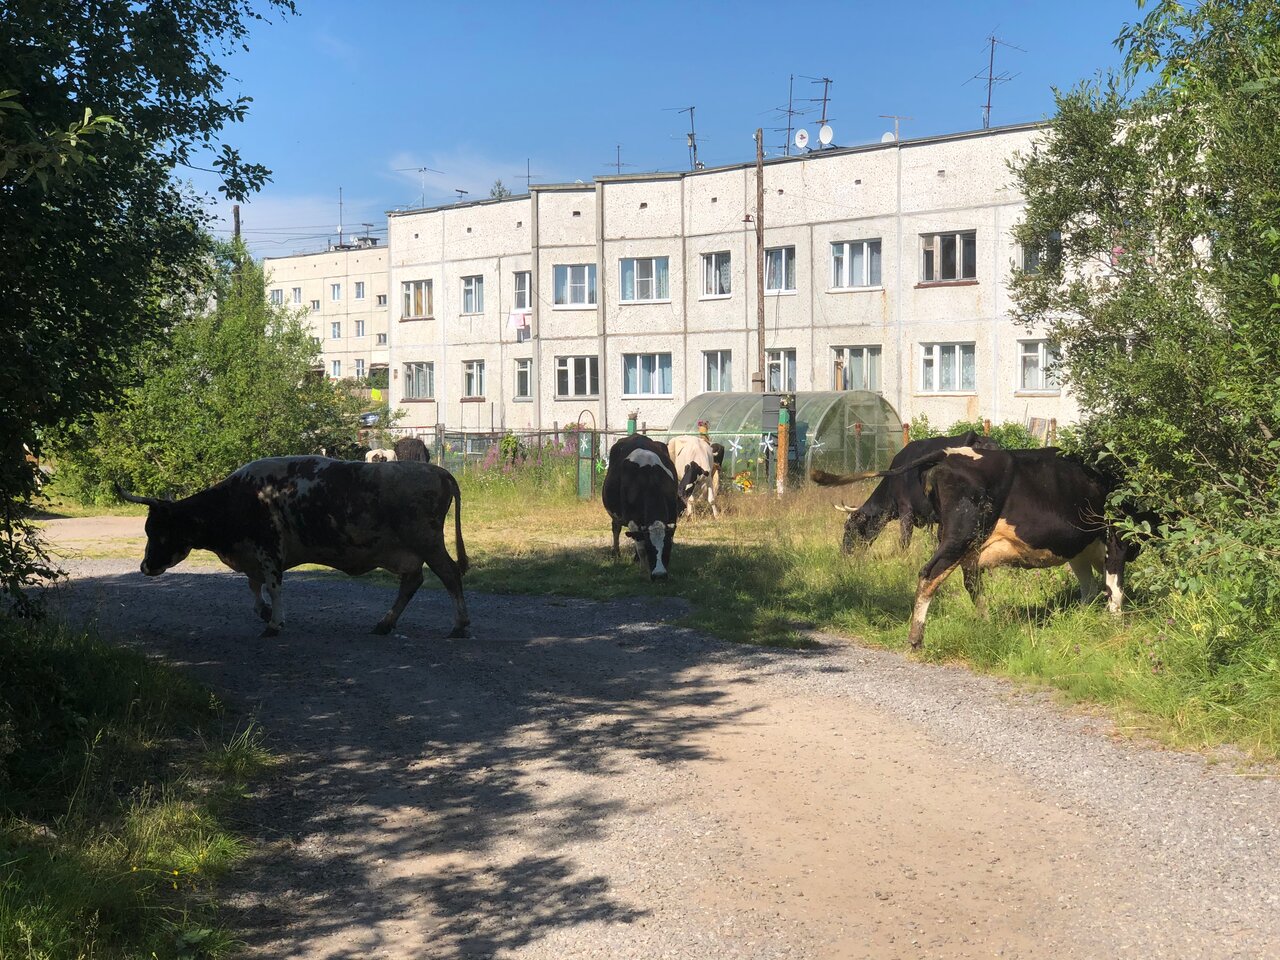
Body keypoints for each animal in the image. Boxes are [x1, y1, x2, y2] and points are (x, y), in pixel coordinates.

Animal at [116, 456, 469, 639]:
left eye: (158, 531)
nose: (145, 567)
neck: (241, 497)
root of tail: (437, 470)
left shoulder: (268, 548)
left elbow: (272, 586)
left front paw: (274, 623)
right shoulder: (252, 555)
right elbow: (254, 588)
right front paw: (264, 612)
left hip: (428, 542)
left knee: (450, 576)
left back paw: (459, 625)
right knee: (412, 581)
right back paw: (385, 623)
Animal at [602, 435, 682, 580]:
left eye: (667, 547)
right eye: (650, 548)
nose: (660, 575)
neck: (650, 480)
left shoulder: (672, 516)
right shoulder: (632, 520)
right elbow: (640, 546)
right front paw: (643, 570)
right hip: (616, 515)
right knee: (616, 529)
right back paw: (616, 554)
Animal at [886, 445, 1135, 649]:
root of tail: (948, 453)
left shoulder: (1078, 551)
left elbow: (1089, 588)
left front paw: (1083, 617)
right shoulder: (1117, 541)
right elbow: (1114, 589)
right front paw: (1115, 627)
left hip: (965, 545)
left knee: (971, 584)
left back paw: (986, 624)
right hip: (960, 537)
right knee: (930, 575)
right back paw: (916, 638)